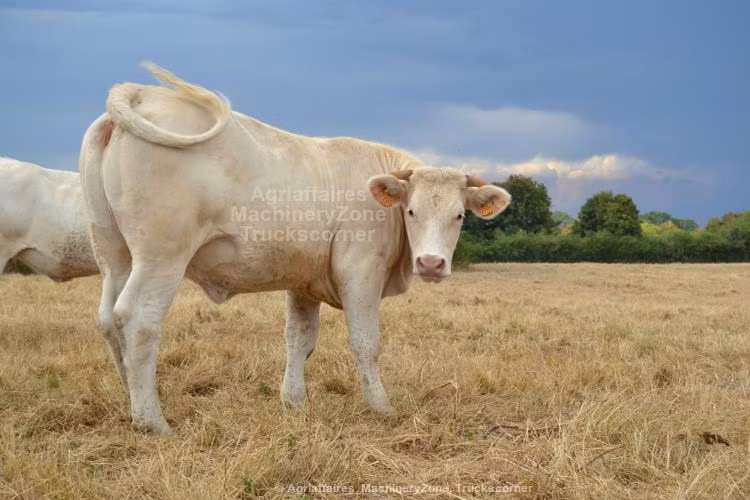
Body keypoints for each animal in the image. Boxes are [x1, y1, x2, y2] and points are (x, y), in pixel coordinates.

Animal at [79, 63, 511, 434]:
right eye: (411, 211)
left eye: (459, 215)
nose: (432, 262)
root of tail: (141, 93)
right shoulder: (360, 274)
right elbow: (366, 344)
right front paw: (381, 407)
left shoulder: (303, 284)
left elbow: (299, 341)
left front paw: (294, 401)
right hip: (161, 258)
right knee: (138, 320)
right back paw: (152, 421)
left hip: (113, 254)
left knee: (108, 319)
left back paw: (131, 402)